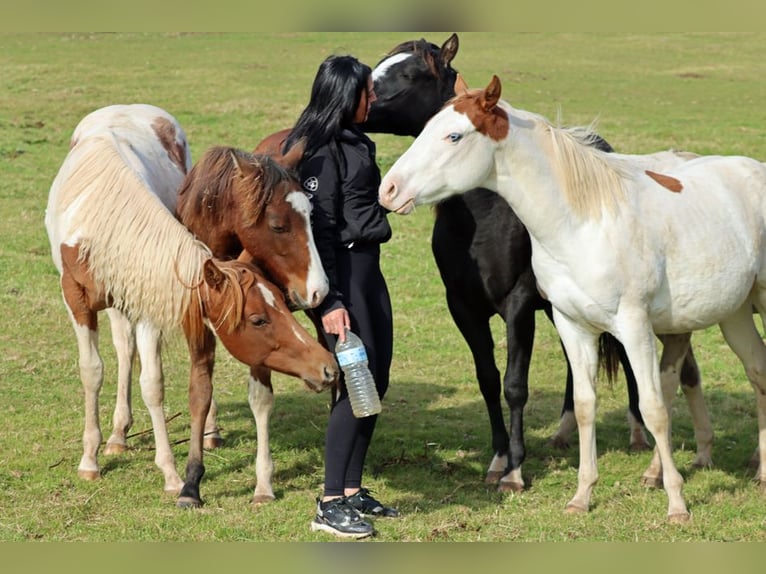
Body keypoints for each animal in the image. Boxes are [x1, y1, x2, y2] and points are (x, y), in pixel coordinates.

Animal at [45, 104, 338, 508]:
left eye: (311, 216)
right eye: (279, 225)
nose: (319, 290)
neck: (102, 219)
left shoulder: (154, 298)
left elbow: (154, 383)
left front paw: (171, 473)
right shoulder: (77, 299)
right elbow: (92, 372)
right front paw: (90, 460)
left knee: (128, 350)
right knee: (122, 350)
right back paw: (116, 437)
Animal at [379, 74, 766, 522]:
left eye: (454, 135)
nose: (388, 189)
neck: (582, 222)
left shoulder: (631, 325)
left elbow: (652, 407)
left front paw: (677, 505)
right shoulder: (571, 324)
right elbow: (584, 404)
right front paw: (582, 496)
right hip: (731, 314)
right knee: (752, 371)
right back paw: (750, 469)